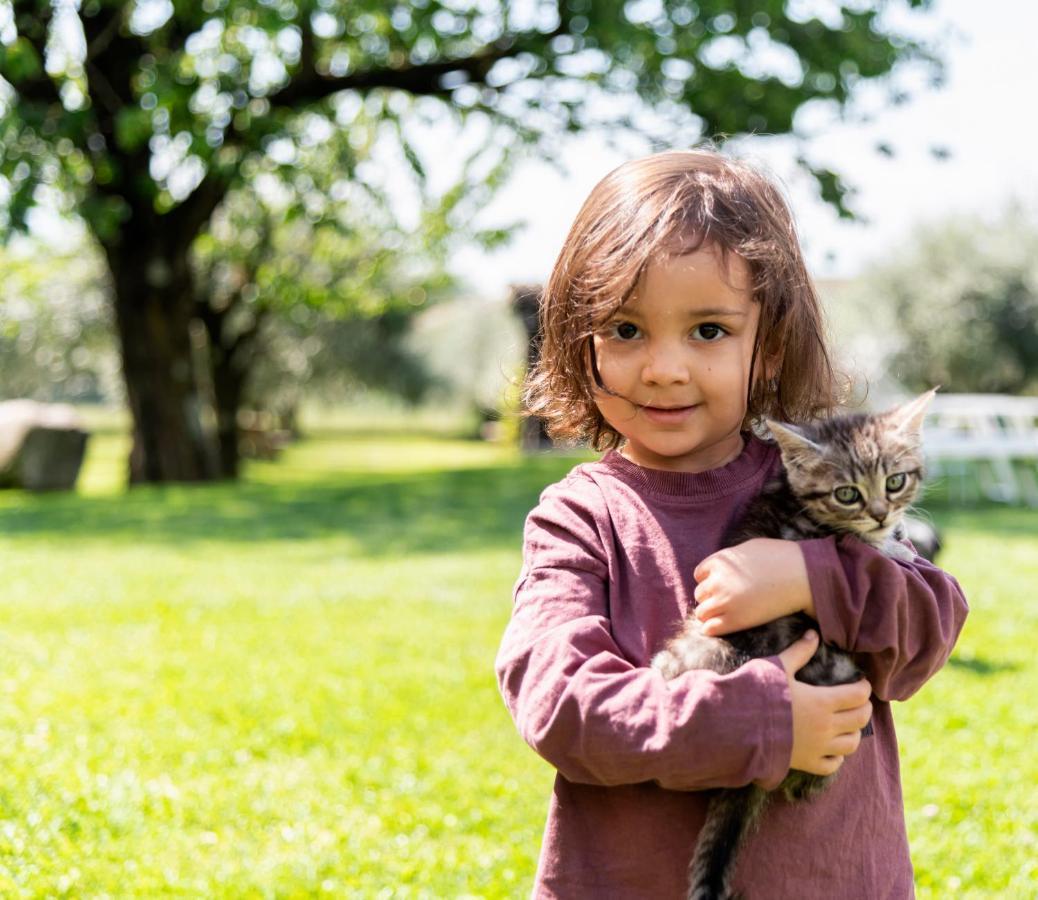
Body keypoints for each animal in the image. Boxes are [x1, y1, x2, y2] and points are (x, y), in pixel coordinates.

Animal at [651, 388, 938, 900]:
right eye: (847, 493)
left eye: (895, 481)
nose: (881, 513)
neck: (798, 502)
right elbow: (858, 546)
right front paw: (891, 545)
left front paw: (897, 533)